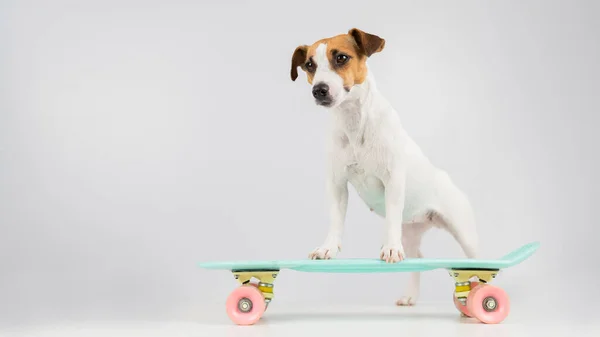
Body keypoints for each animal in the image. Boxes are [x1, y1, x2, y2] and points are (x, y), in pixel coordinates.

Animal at [290, 28, 478, 304]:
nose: (319, 90)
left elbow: (390, 220)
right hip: (409, 231)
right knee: (417, 258)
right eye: (309, 65)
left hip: (464, 232)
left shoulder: (393, 180)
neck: (355, 123)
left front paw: (389, 248)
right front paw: (328, 247)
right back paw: (410, 295)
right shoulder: (337, 184)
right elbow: (336, 219)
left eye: (341, 57)